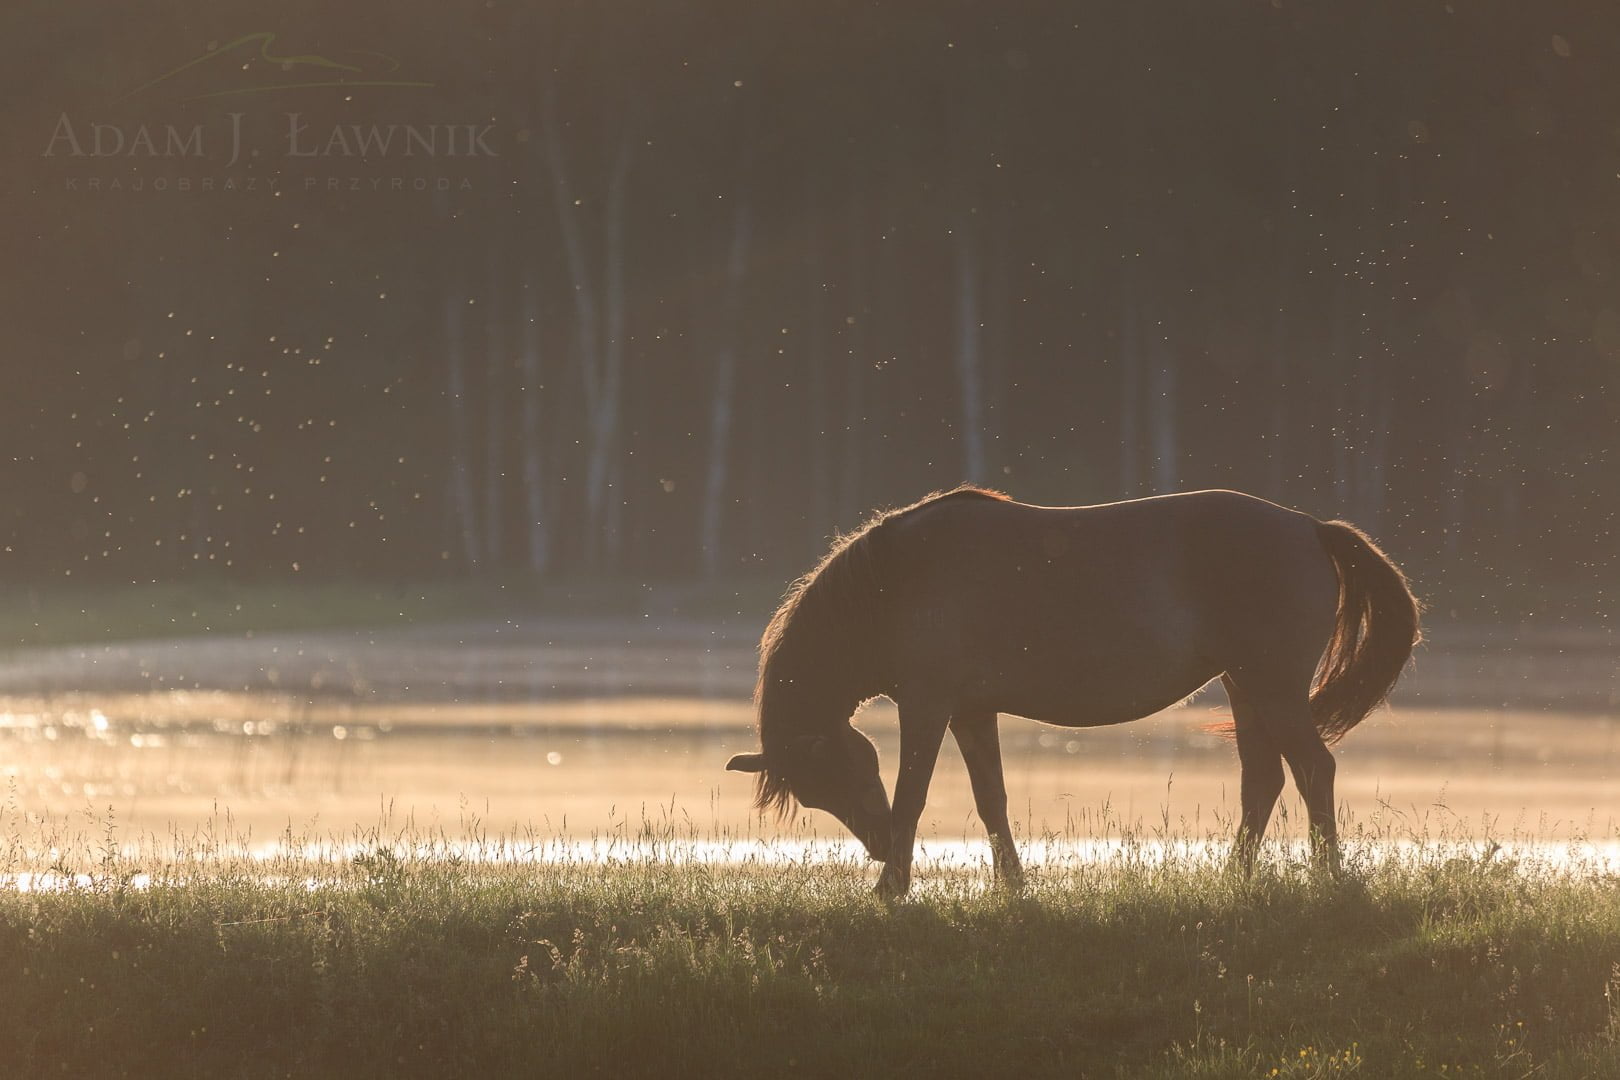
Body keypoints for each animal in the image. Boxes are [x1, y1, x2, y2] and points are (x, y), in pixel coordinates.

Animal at [729, 485, 1425, 900]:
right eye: (816, 793)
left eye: (834, 774)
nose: (875, 843)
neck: (897, 583)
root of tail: (1311, 527)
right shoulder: (972, 711)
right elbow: (991, 799)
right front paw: (1011, 886)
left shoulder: (927, 705)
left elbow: (913, 794)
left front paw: (892, 886)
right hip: (1245, 687)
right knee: (1265, 779)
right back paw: (1236, 877)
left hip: (1272, 687)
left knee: (1313, 769)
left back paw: (1327, 878)